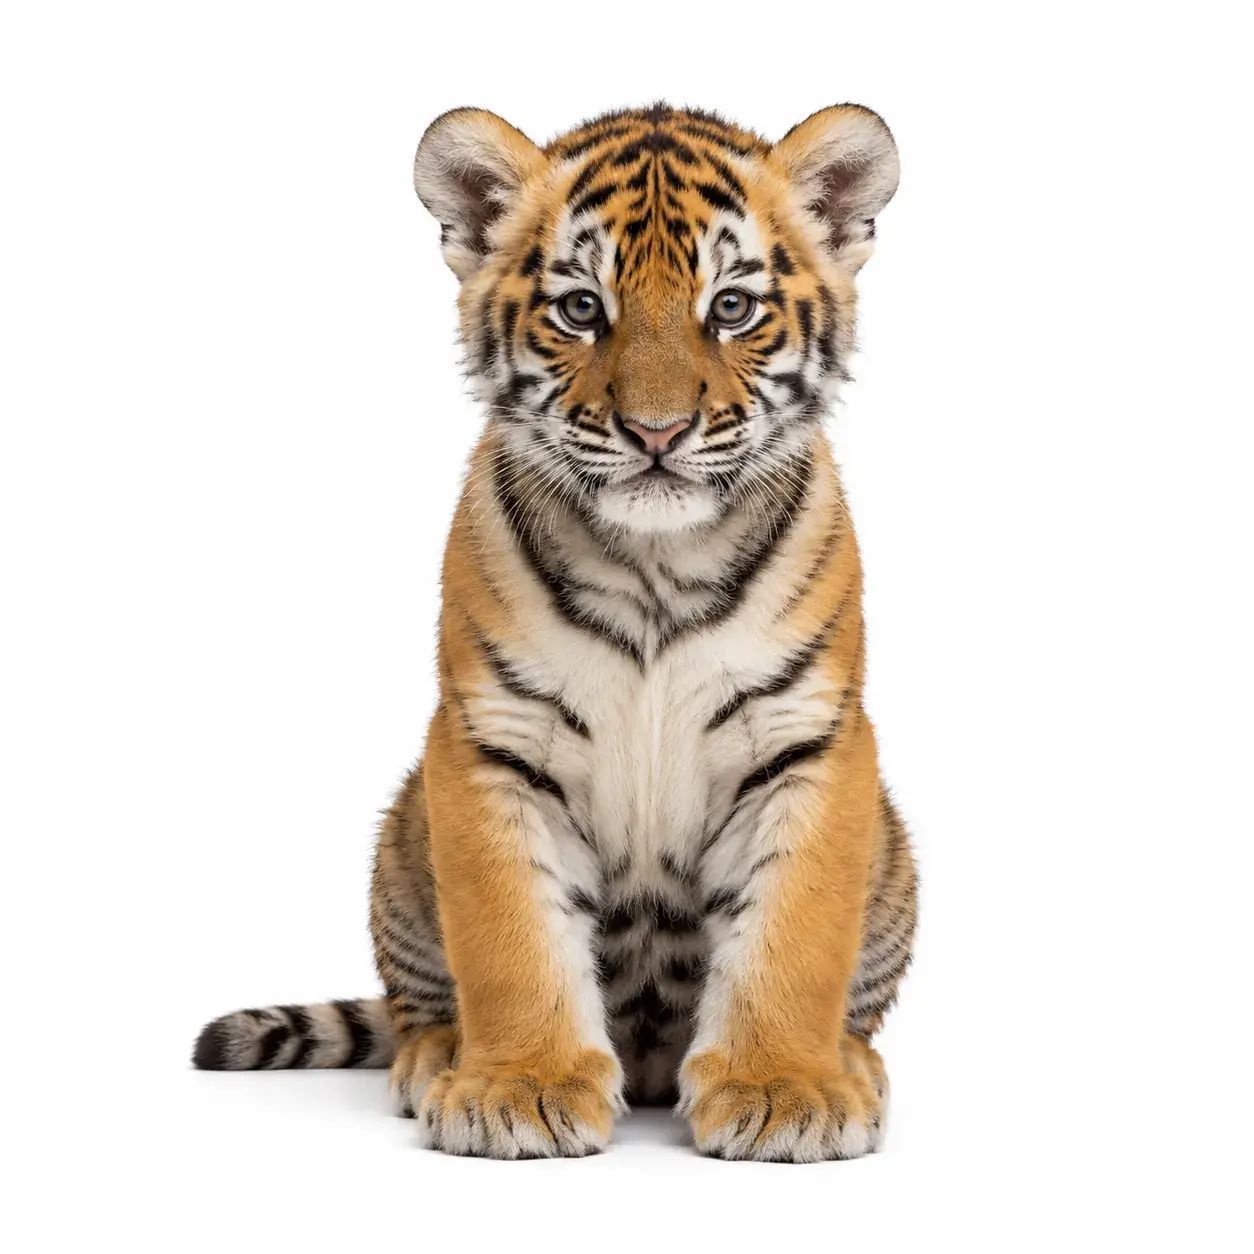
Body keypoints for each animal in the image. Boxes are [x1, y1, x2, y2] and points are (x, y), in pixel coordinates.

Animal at [194, 102, 918, 1163]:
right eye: (581, 309)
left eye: (731, 308)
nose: (656, 432)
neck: (659, 565)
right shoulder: (489, 739)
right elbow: (511, 937)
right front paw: (520, 1088)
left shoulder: (810, 739)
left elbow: (796, 934)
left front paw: (783, 1089)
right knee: (419, 1000)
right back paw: (435, 1059)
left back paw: (854, 1066)